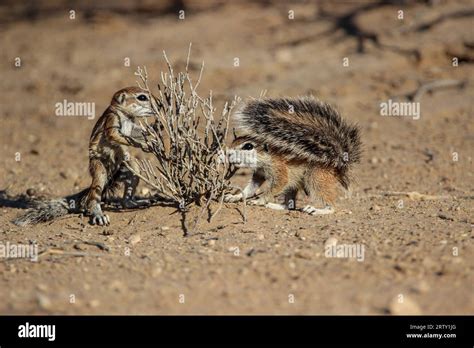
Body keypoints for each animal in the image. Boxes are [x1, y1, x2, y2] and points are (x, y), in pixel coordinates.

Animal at [12, 86, 156, 227]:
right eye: (142, 97)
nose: (158, 104)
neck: (126, 115)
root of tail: (111, 174)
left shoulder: (131, 126)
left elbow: (135, 132)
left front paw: (152, 128)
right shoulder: (112, 119)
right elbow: (114, 134)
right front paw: (144, 143)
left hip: (128, 167)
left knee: (128, 190)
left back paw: (136, 202)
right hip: (98, 168)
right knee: (94, 195)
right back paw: (99, 215)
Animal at [224, 96, 362, 215]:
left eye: (248, 146)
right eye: (235, 140)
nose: (228, 152)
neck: (268, 158)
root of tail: (336, 163)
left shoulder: (280, 170)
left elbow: (277, 185)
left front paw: (259, 200)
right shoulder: (259, 174)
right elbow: (250, 188)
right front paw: (235, 196)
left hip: (315, 177)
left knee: (331, 205)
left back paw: (317, 210)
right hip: (294, 185)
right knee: (289, 205)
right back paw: (273, 205)